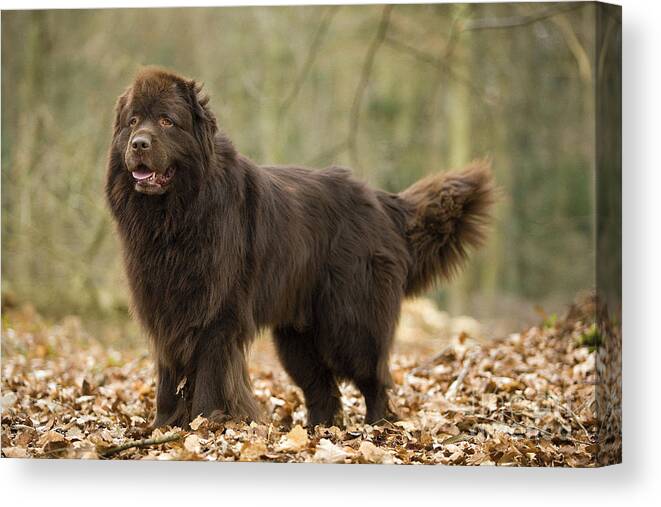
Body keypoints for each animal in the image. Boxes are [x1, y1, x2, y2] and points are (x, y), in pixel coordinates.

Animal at [105, 67, 492, 428]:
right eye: (133, 121)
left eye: (167, 121)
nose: (139, 144)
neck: (175, 216)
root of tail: (381, 201)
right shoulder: (165, 311)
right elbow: (167, 380)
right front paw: (162, 428)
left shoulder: (217, 315)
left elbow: (209, 378)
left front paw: (203, 425)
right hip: (297, 336)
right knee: (322, 388)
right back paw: (316, 431)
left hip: (351, 322)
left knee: (374, 378)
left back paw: (376, 427)